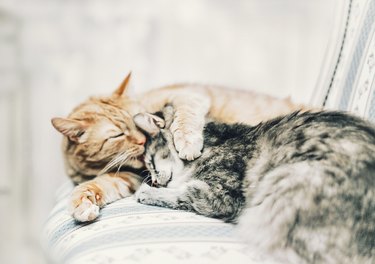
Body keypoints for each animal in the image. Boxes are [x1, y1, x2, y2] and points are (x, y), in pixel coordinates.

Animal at [52, 73, 308, 222]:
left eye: (135, 120)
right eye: (117, 135)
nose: (143, 141)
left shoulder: (189, 95)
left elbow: (184, 115)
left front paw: (186, 141)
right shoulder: (130, 175)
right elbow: (99, 185)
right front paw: (82, 203)